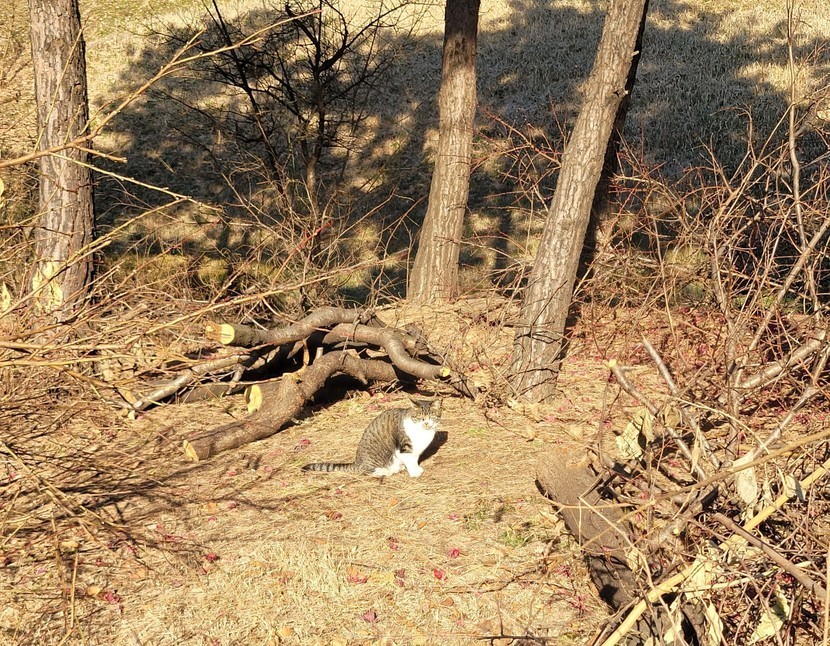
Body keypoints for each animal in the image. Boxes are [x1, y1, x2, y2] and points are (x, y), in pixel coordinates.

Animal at [302, 398, 442, 477]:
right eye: (420, 417)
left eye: (431, 416)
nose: (426, 423)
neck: (422, 432)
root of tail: (357, 462)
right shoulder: (405, 447)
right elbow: (410, 460)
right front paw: (414, 472)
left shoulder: (416, 450)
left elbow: (414, 460)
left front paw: (416, 468)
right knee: (366, 471)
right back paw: (386, 472)